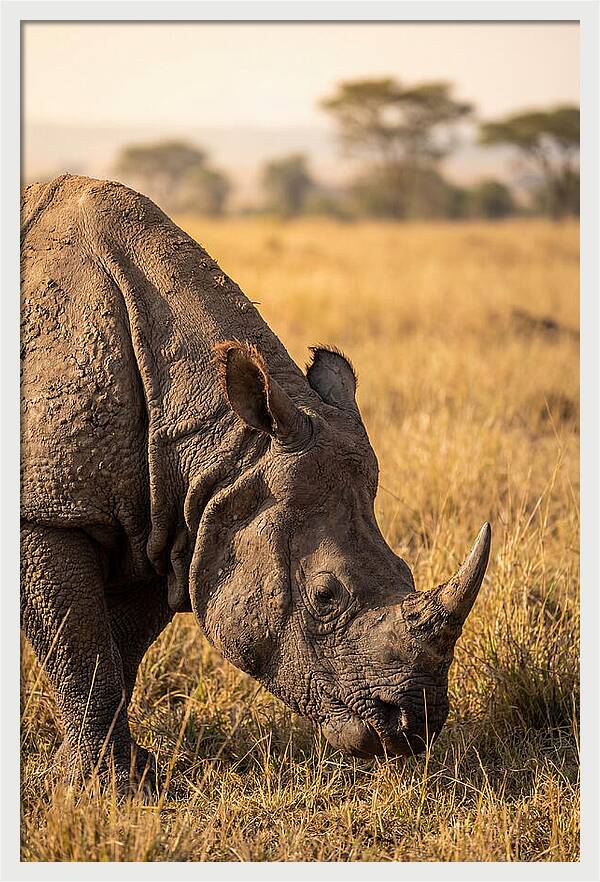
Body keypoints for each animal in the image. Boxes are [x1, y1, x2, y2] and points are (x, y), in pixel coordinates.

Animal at [21, 174, 491, 793]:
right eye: (325, 597)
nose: (414, 728)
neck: (221, 445)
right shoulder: (50, 511)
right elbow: (85, 658)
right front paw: (108, 790)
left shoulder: (169, 521)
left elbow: (117, 653)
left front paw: (127, 777)